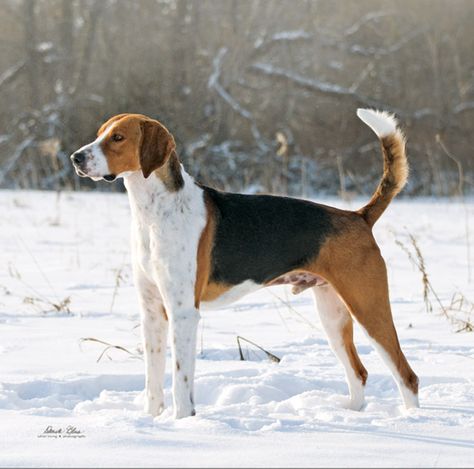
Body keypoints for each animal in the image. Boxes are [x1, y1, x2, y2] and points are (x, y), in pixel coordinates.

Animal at [70, 109, 418, 416]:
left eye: (117, 137)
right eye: (100, 133)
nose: (75, 158)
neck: (155, 211)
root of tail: (358, 216)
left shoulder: (183, 314)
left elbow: (181, 381)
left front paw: (182, 421)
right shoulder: (153, 313)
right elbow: (153, 383)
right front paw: (152, 421)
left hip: (369, 310)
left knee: (407, 375)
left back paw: (412, 420)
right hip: (332, 316)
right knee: (359, 373)